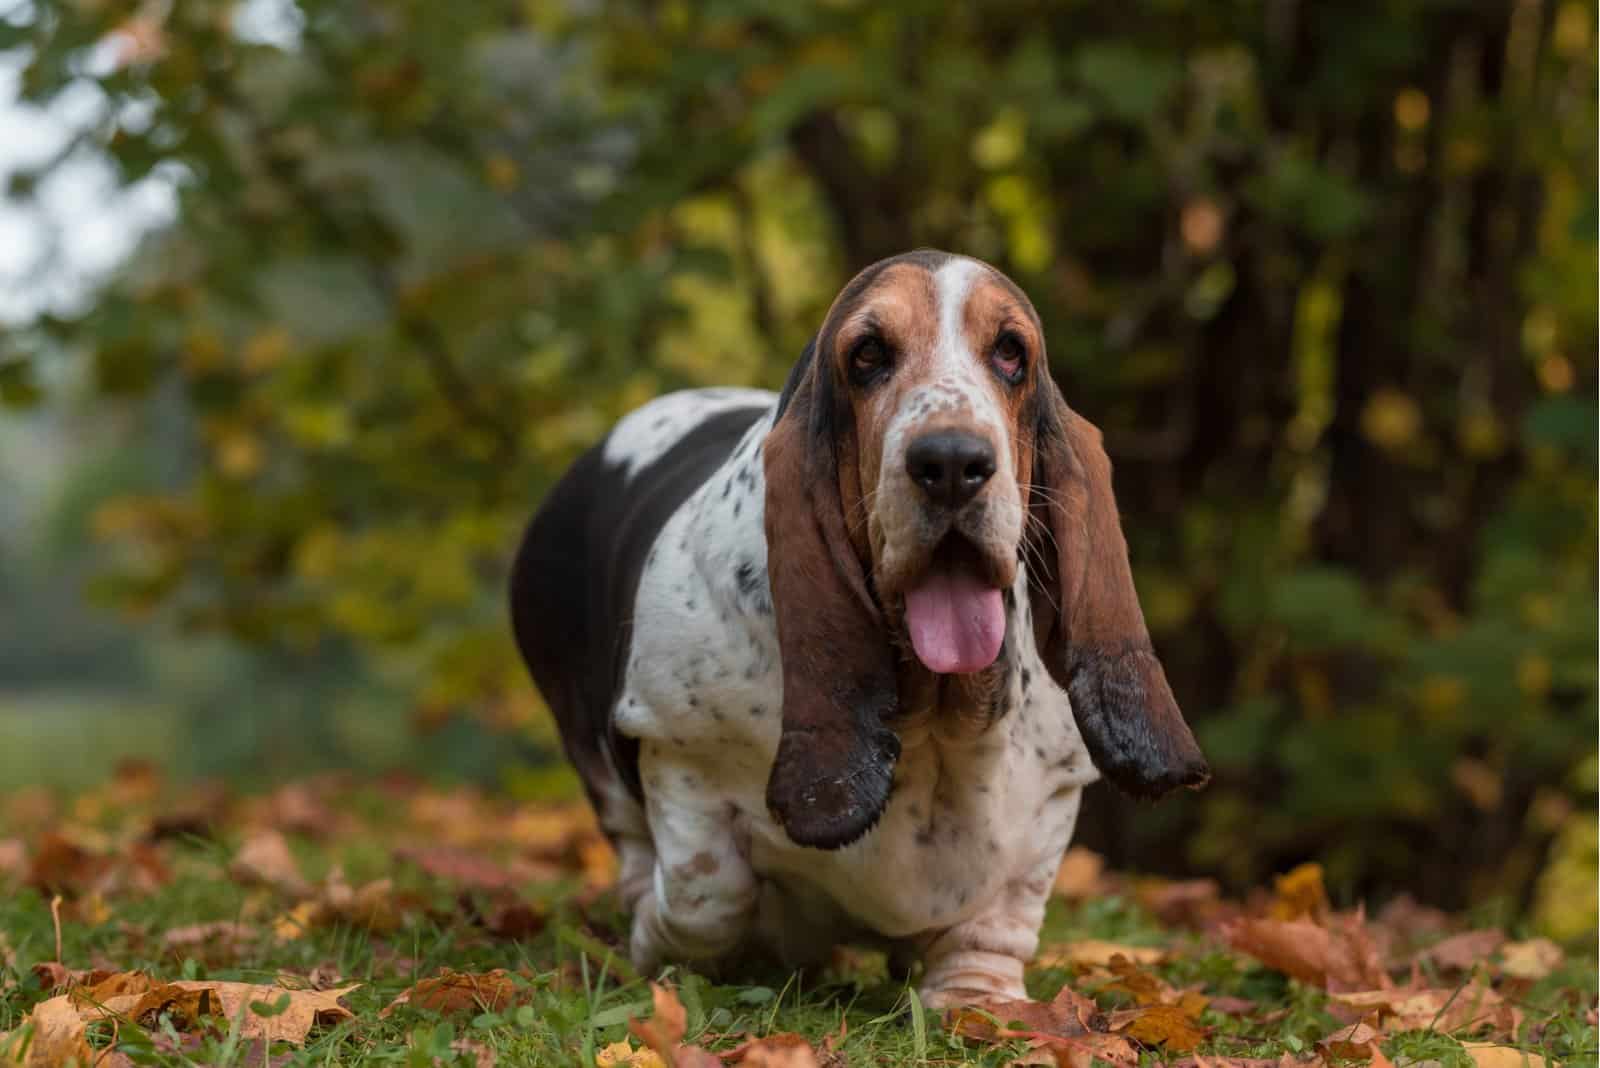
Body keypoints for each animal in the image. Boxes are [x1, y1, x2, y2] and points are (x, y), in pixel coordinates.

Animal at [505, 247, 1203, 1004]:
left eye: (1011, 353)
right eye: (867, 355)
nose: (951, 462)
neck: (932, 716)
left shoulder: (1052, 797)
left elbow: (1000, 916)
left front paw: (977, 998)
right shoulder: (674, 748)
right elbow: (706, 894)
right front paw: (661, 943)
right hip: (588, 742)